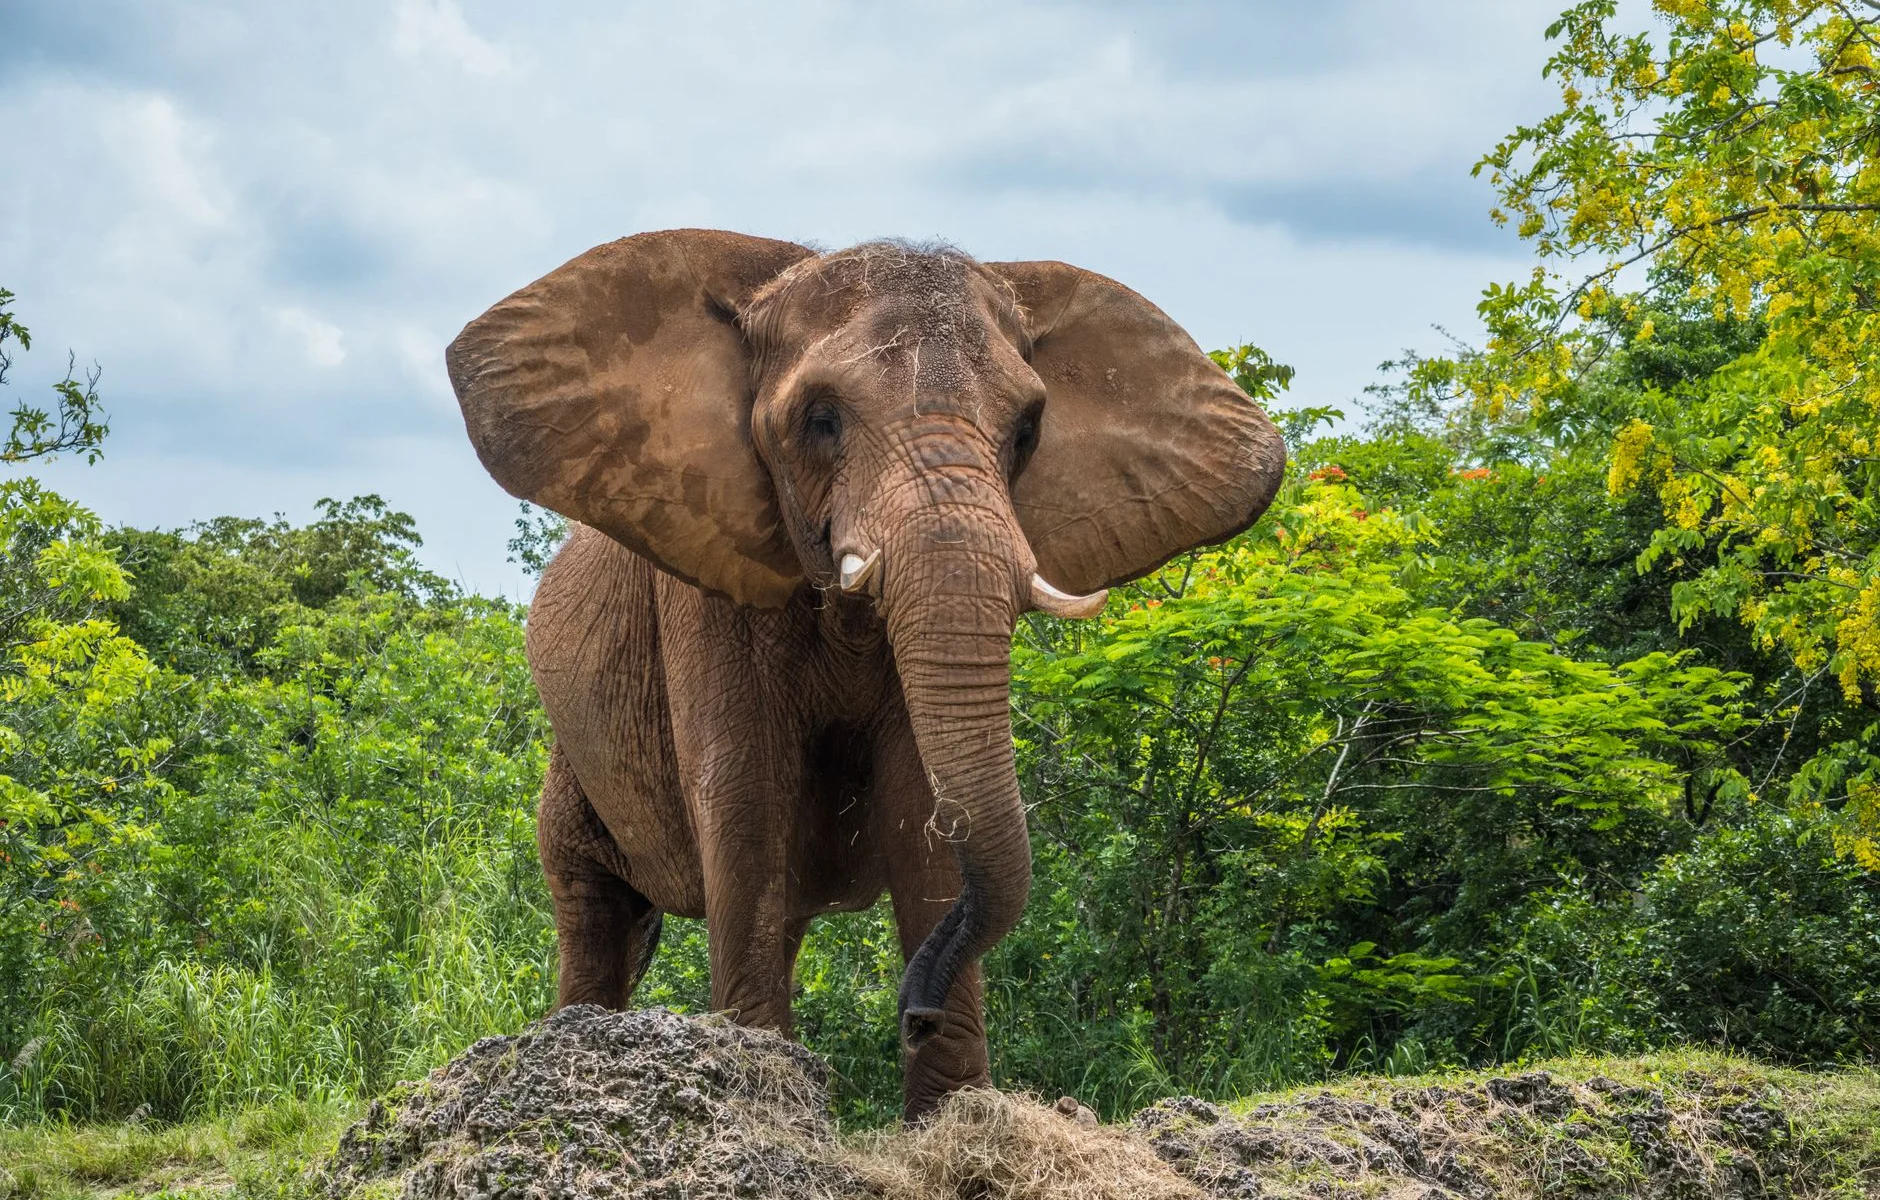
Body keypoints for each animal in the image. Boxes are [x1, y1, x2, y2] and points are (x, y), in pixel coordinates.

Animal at [445, 229, 1284, 1119]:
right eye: (821, 420)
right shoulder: (707, 591)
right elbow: (745, 796)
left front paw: (951, 1118)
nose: (915, 1012)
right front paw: (768, 1102)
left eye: (1027, 430)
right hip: (571, 753)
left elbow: (925, 805)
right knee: (592, 905)